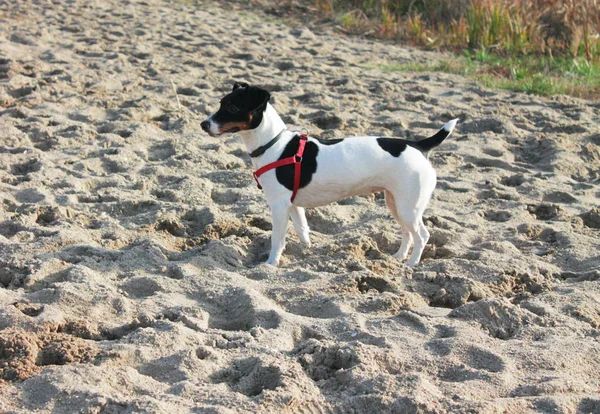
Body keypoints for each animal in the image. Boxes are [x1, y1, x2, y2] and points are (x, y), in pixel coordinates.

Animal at [199, 82, 458, 266]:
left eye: (232, 107)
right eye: (221, 103)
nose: (203, 124)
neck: (273, 143)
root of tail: (418, 145)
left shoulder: (279, 205)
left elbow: (277, 239)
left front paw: (271, 264)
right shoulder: (293, 204)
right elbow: (303, 229)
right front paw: (307, 249)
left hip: (408, 207)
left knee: (422, 235)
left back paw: (412, 263)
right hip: (396, 203)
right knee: (407, 233)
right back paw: (399, 257)